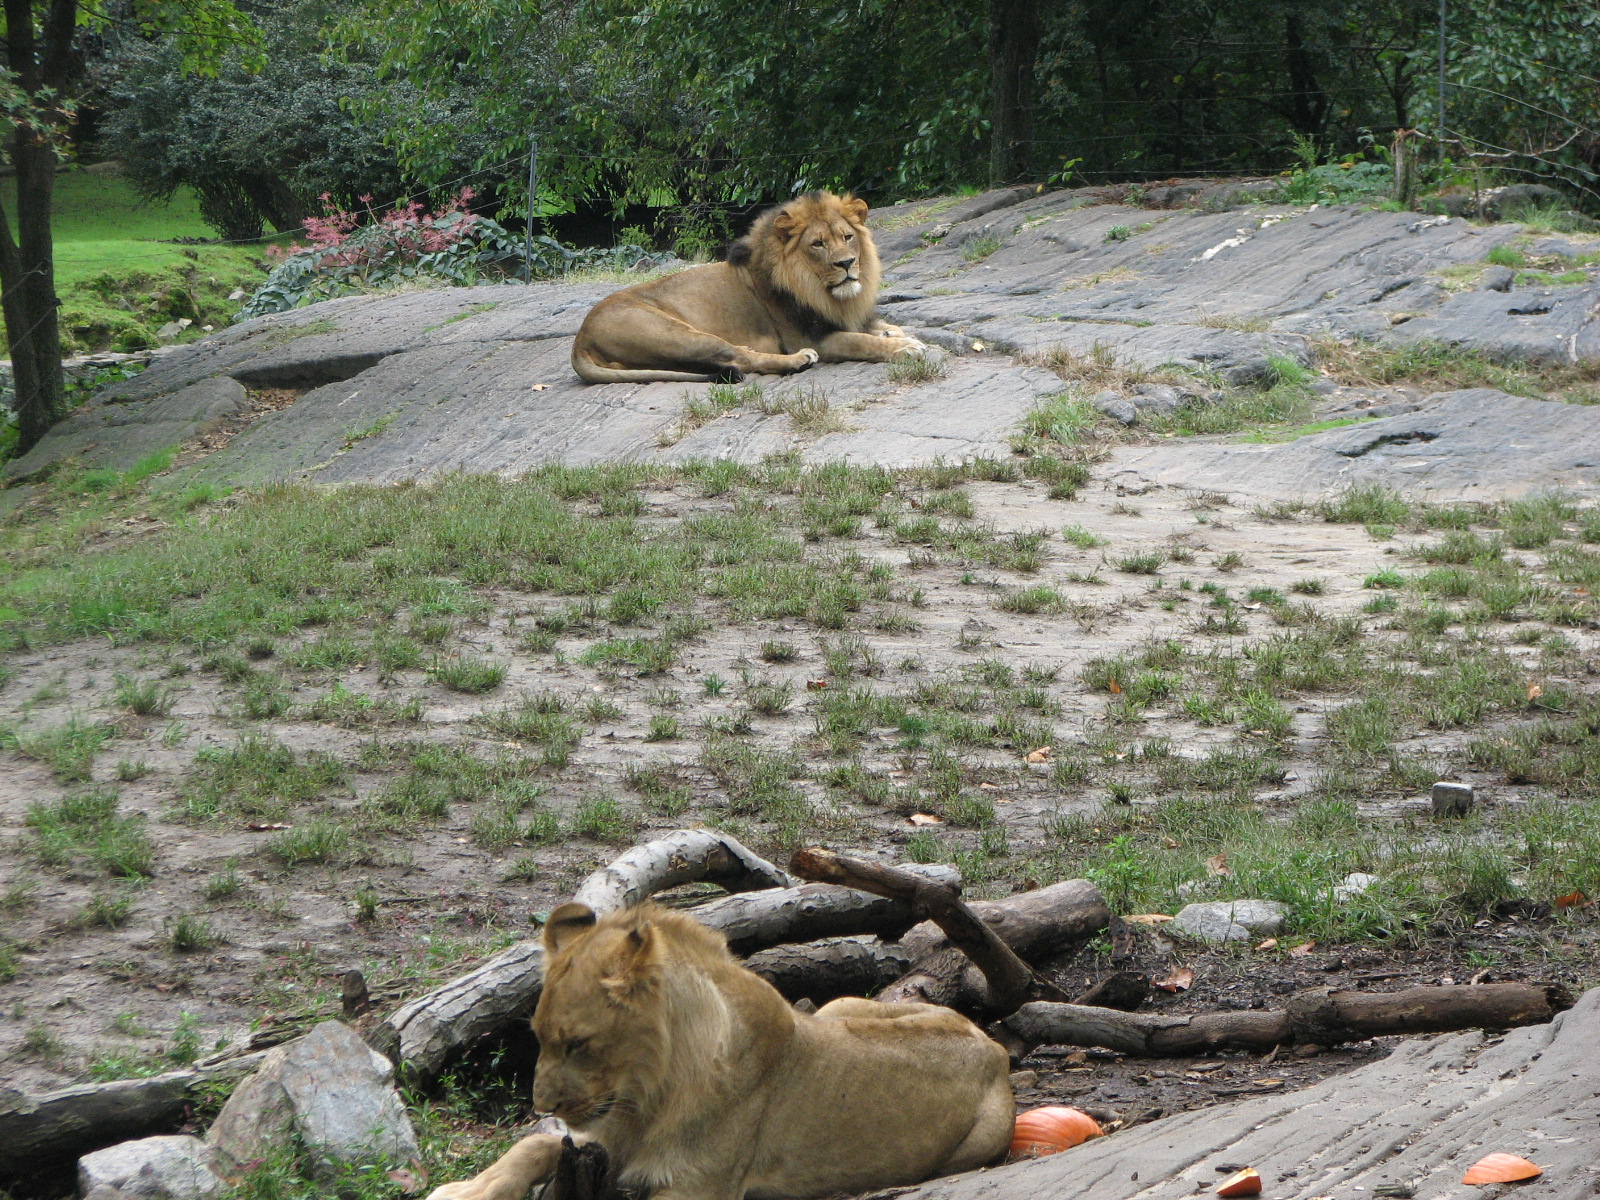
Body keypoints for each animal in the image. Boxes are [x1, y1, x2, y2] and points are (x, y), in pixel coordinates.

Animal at [425, 901, 1014, 1200]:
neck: (644, 1096)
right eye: (540, 1037)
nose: (541, 1105)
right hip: (839, 1006)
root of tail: (993, 1046)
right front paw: (464, 1191)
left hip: (978, 1144)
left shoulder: (696, 1189)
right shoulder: (601, 1138)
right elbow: (535, 1145)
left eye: (578, 1044)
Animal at [571, 190, 930, 384]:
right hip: (676, 332)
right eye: (817, 244)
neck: (820, 290)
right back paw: (797, 361)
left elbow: (877, 327)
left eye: (847, 237)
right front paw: (903, 347)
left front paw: (893, 332)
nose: (846, 264)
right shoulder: (808, 335)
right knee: (739, 358)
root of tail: (580, 339)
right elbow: (860, 341)